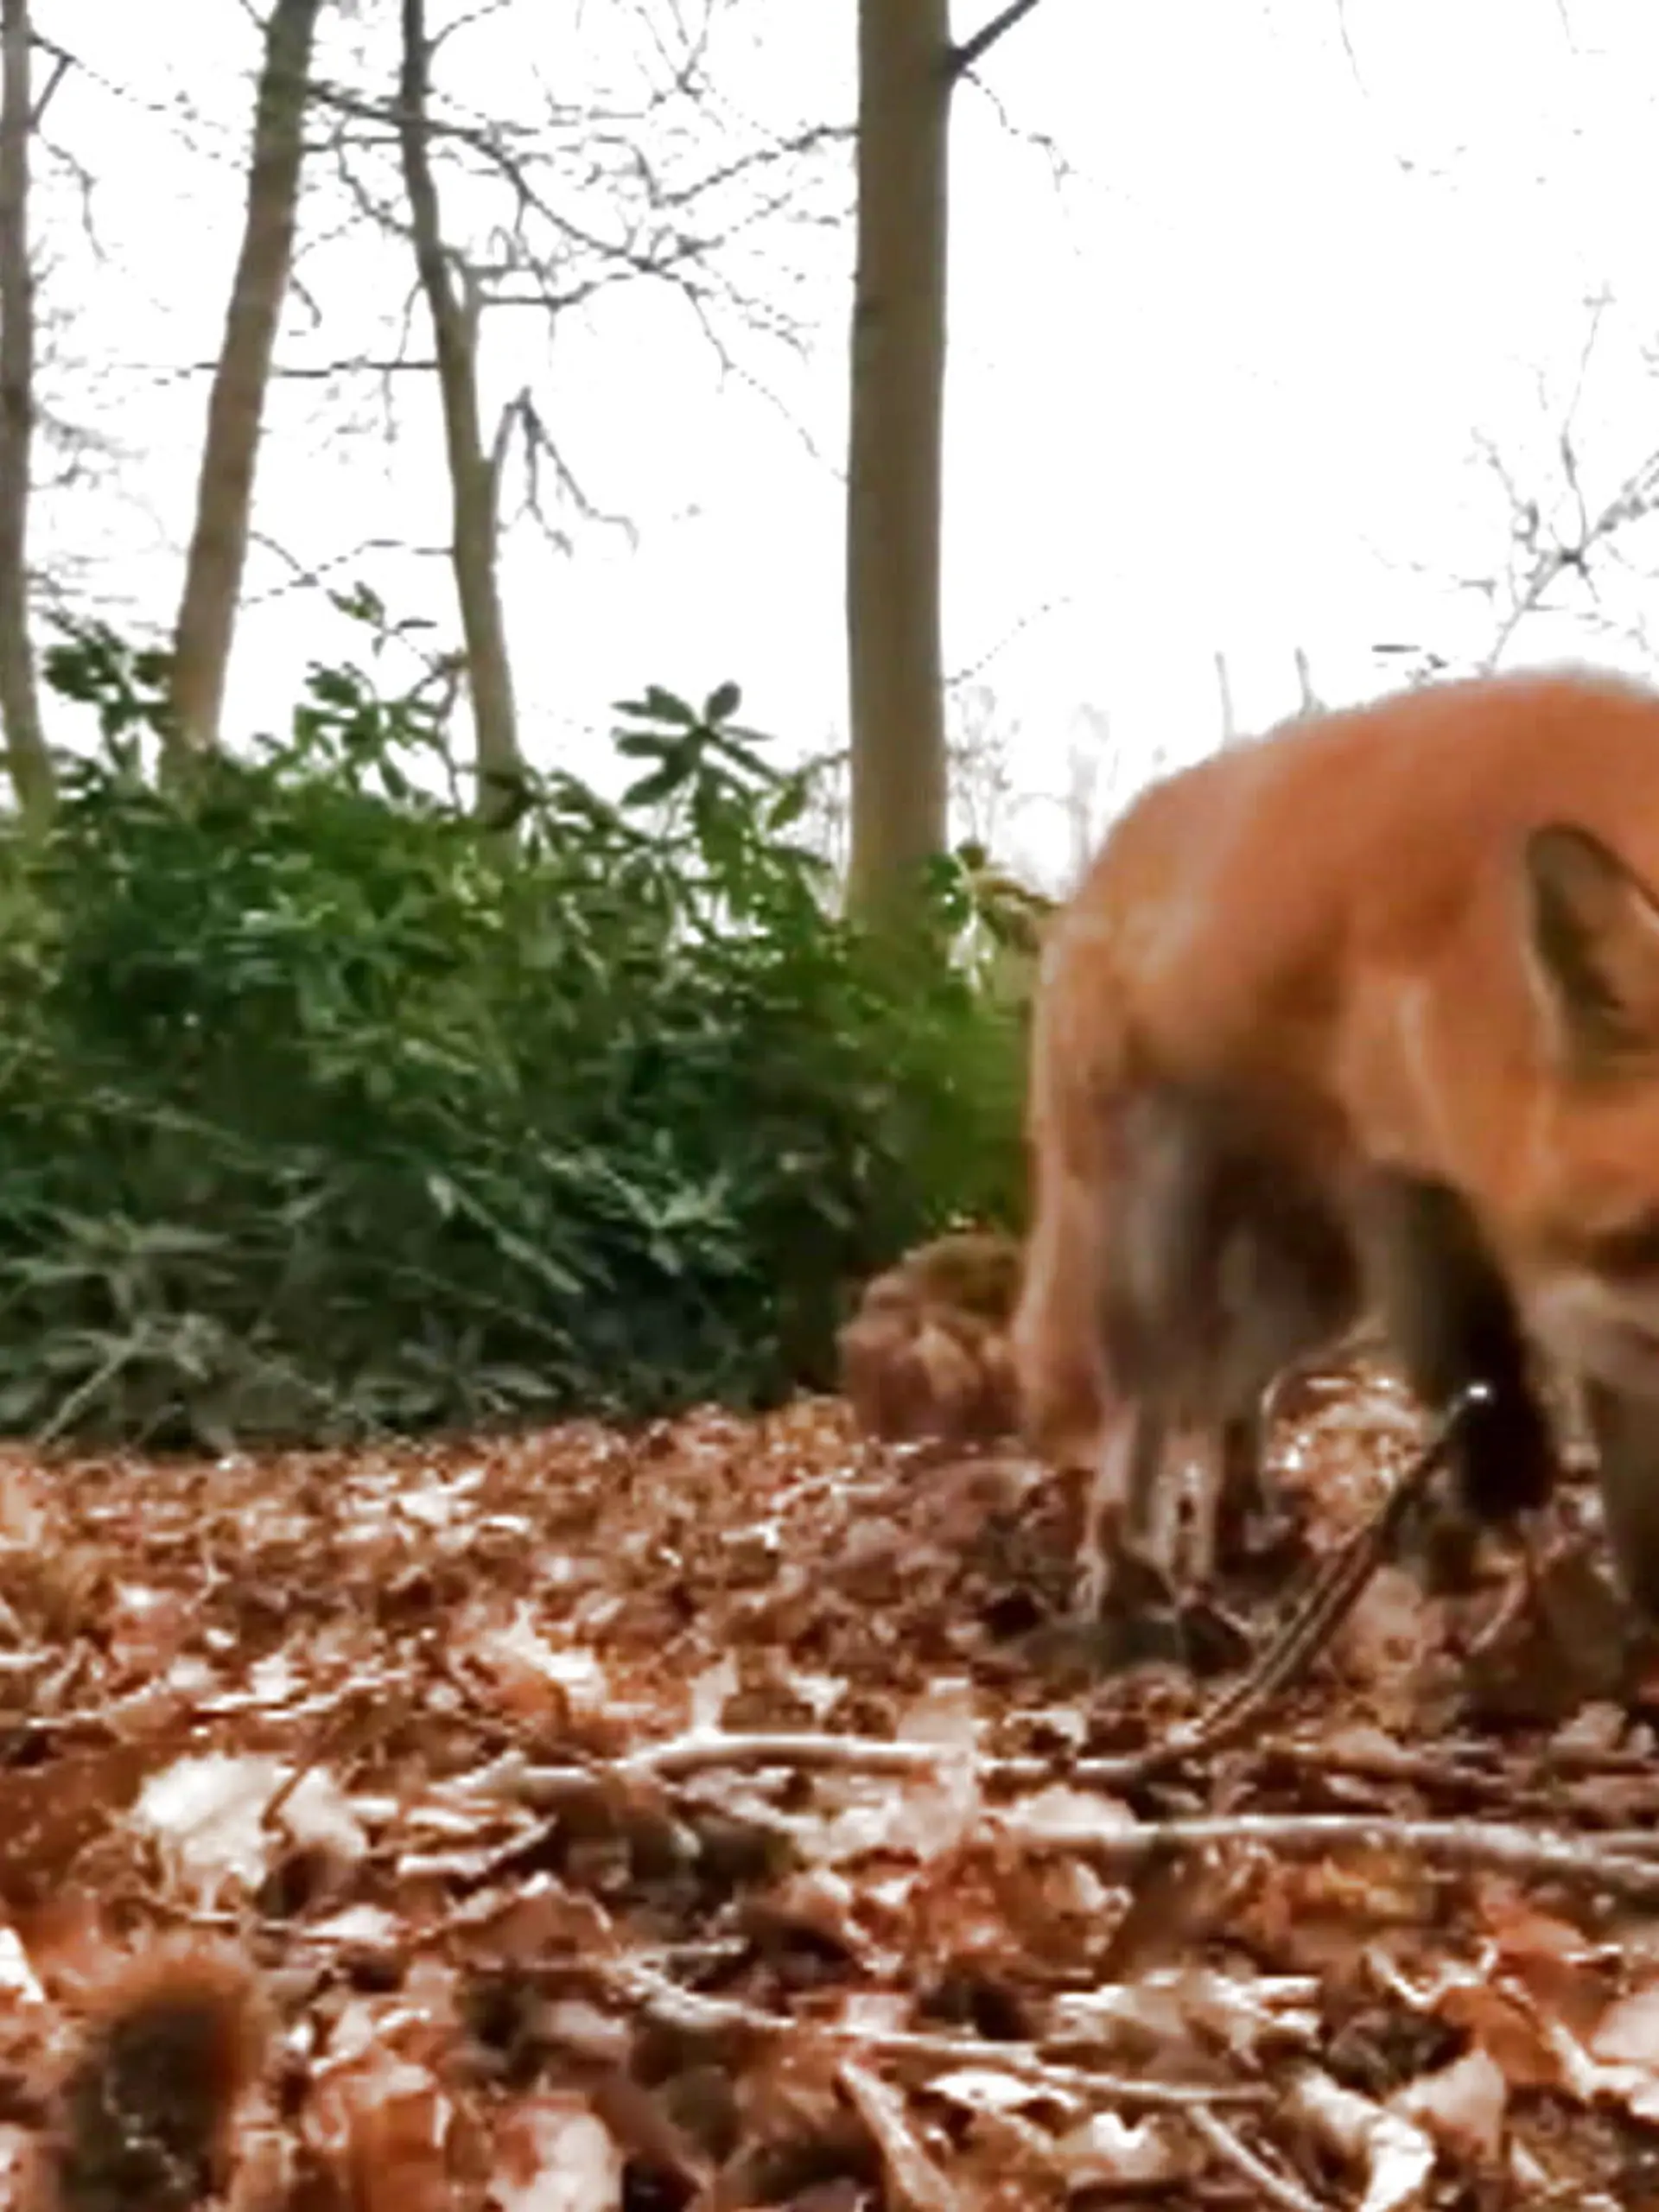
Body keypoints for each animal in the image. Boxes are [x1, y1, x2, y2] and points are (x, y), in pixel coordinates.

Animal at [1014, 665, 1659, 1622]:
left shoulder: (1588, 1299)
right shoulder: (1400, 1176)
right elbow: (1489, 1403)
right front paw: (1504, 1538)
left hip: (1311, 1292)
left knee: (1225, 1393)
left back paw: (1231, 1529)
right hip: (1163, 1254)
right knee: (1146, 1406)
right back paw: (1125, 1564)